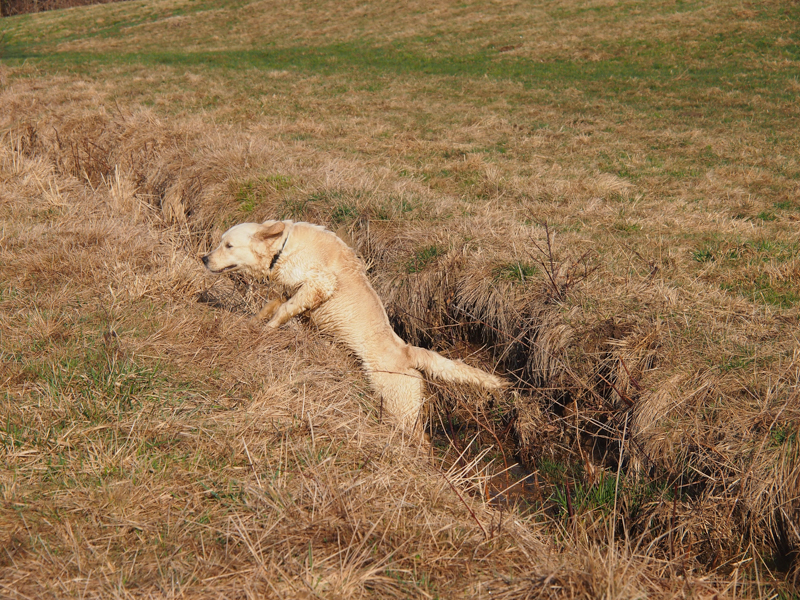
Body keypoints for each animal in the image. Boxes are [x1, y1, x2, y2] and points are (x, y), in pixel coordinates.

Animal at [205, 220, 506, 436]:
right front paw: (253, 323)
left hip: (398, 402)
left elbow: (283, 310)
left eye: (228, 245)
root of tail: (408, 351)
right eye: (220, 242)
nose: (204, 258)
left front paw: (267, 330)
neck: (284, 246)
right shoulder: (290, 289)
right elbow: (272, 305)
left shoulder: (320, 283)